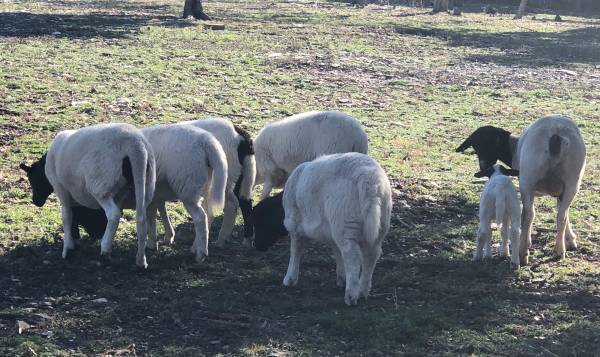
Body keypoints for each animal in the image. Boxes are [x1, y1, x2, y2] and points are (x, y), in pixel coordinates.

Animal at [19, 122, 155, 268]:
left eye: (32, 179)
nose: (36, 201)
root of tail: (135, 145)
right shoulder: (118, 195)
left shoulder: (61, 188)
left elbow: (67, 215)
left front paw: (68, 248)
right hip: (145, 184)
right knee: (141, 218)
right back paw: (140, 261)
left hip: (101, 186)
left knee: (113, 214)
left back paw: (105, 250)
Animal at [142, 123, 229, 262]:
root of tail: (208, 143)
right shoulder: (157, 192)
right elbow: (161, 209)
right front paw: (168, 235)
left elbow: (151, 217)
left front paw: (151, 243)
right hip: (204, 186)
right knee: (209, 215)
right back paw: (195, 247)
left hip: (188, 188)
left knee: (200, 217)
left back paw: (201, 254)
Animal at [176, 118, 255, 246]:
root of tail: (241, 136)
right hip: (241, 175)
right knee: (245, 202)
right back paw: (246, 239)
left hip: (225, 178)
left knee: (231, 205)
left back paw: (220, 240)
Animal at [251, 152, 392, 304]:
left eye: (259, 222)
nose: (255, 245)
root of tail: (370, 182)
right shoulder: (331, 232)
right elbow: (337, 252)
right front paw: (341, 278)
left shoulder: (294, 225)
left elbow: (295, 251)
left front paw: (290, 278)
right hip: (379, 225)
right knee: (372, 255)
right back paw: (363, 291)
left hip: (345, 224)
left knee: (352, 257)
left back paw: (351, 295)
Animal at [458, 114, 584, 264]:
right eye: (476, 146)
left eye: (490, 143)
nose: (483, 166)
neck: (514, 147)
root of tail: (556, 134)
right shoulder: (562, 191)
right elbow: (564, 213)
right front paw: (570, 240)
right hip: (573, 181)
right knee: (561, 216)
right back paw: (559, 251)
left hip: (527, 179)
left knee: (527, 215)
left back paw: (522, 252)